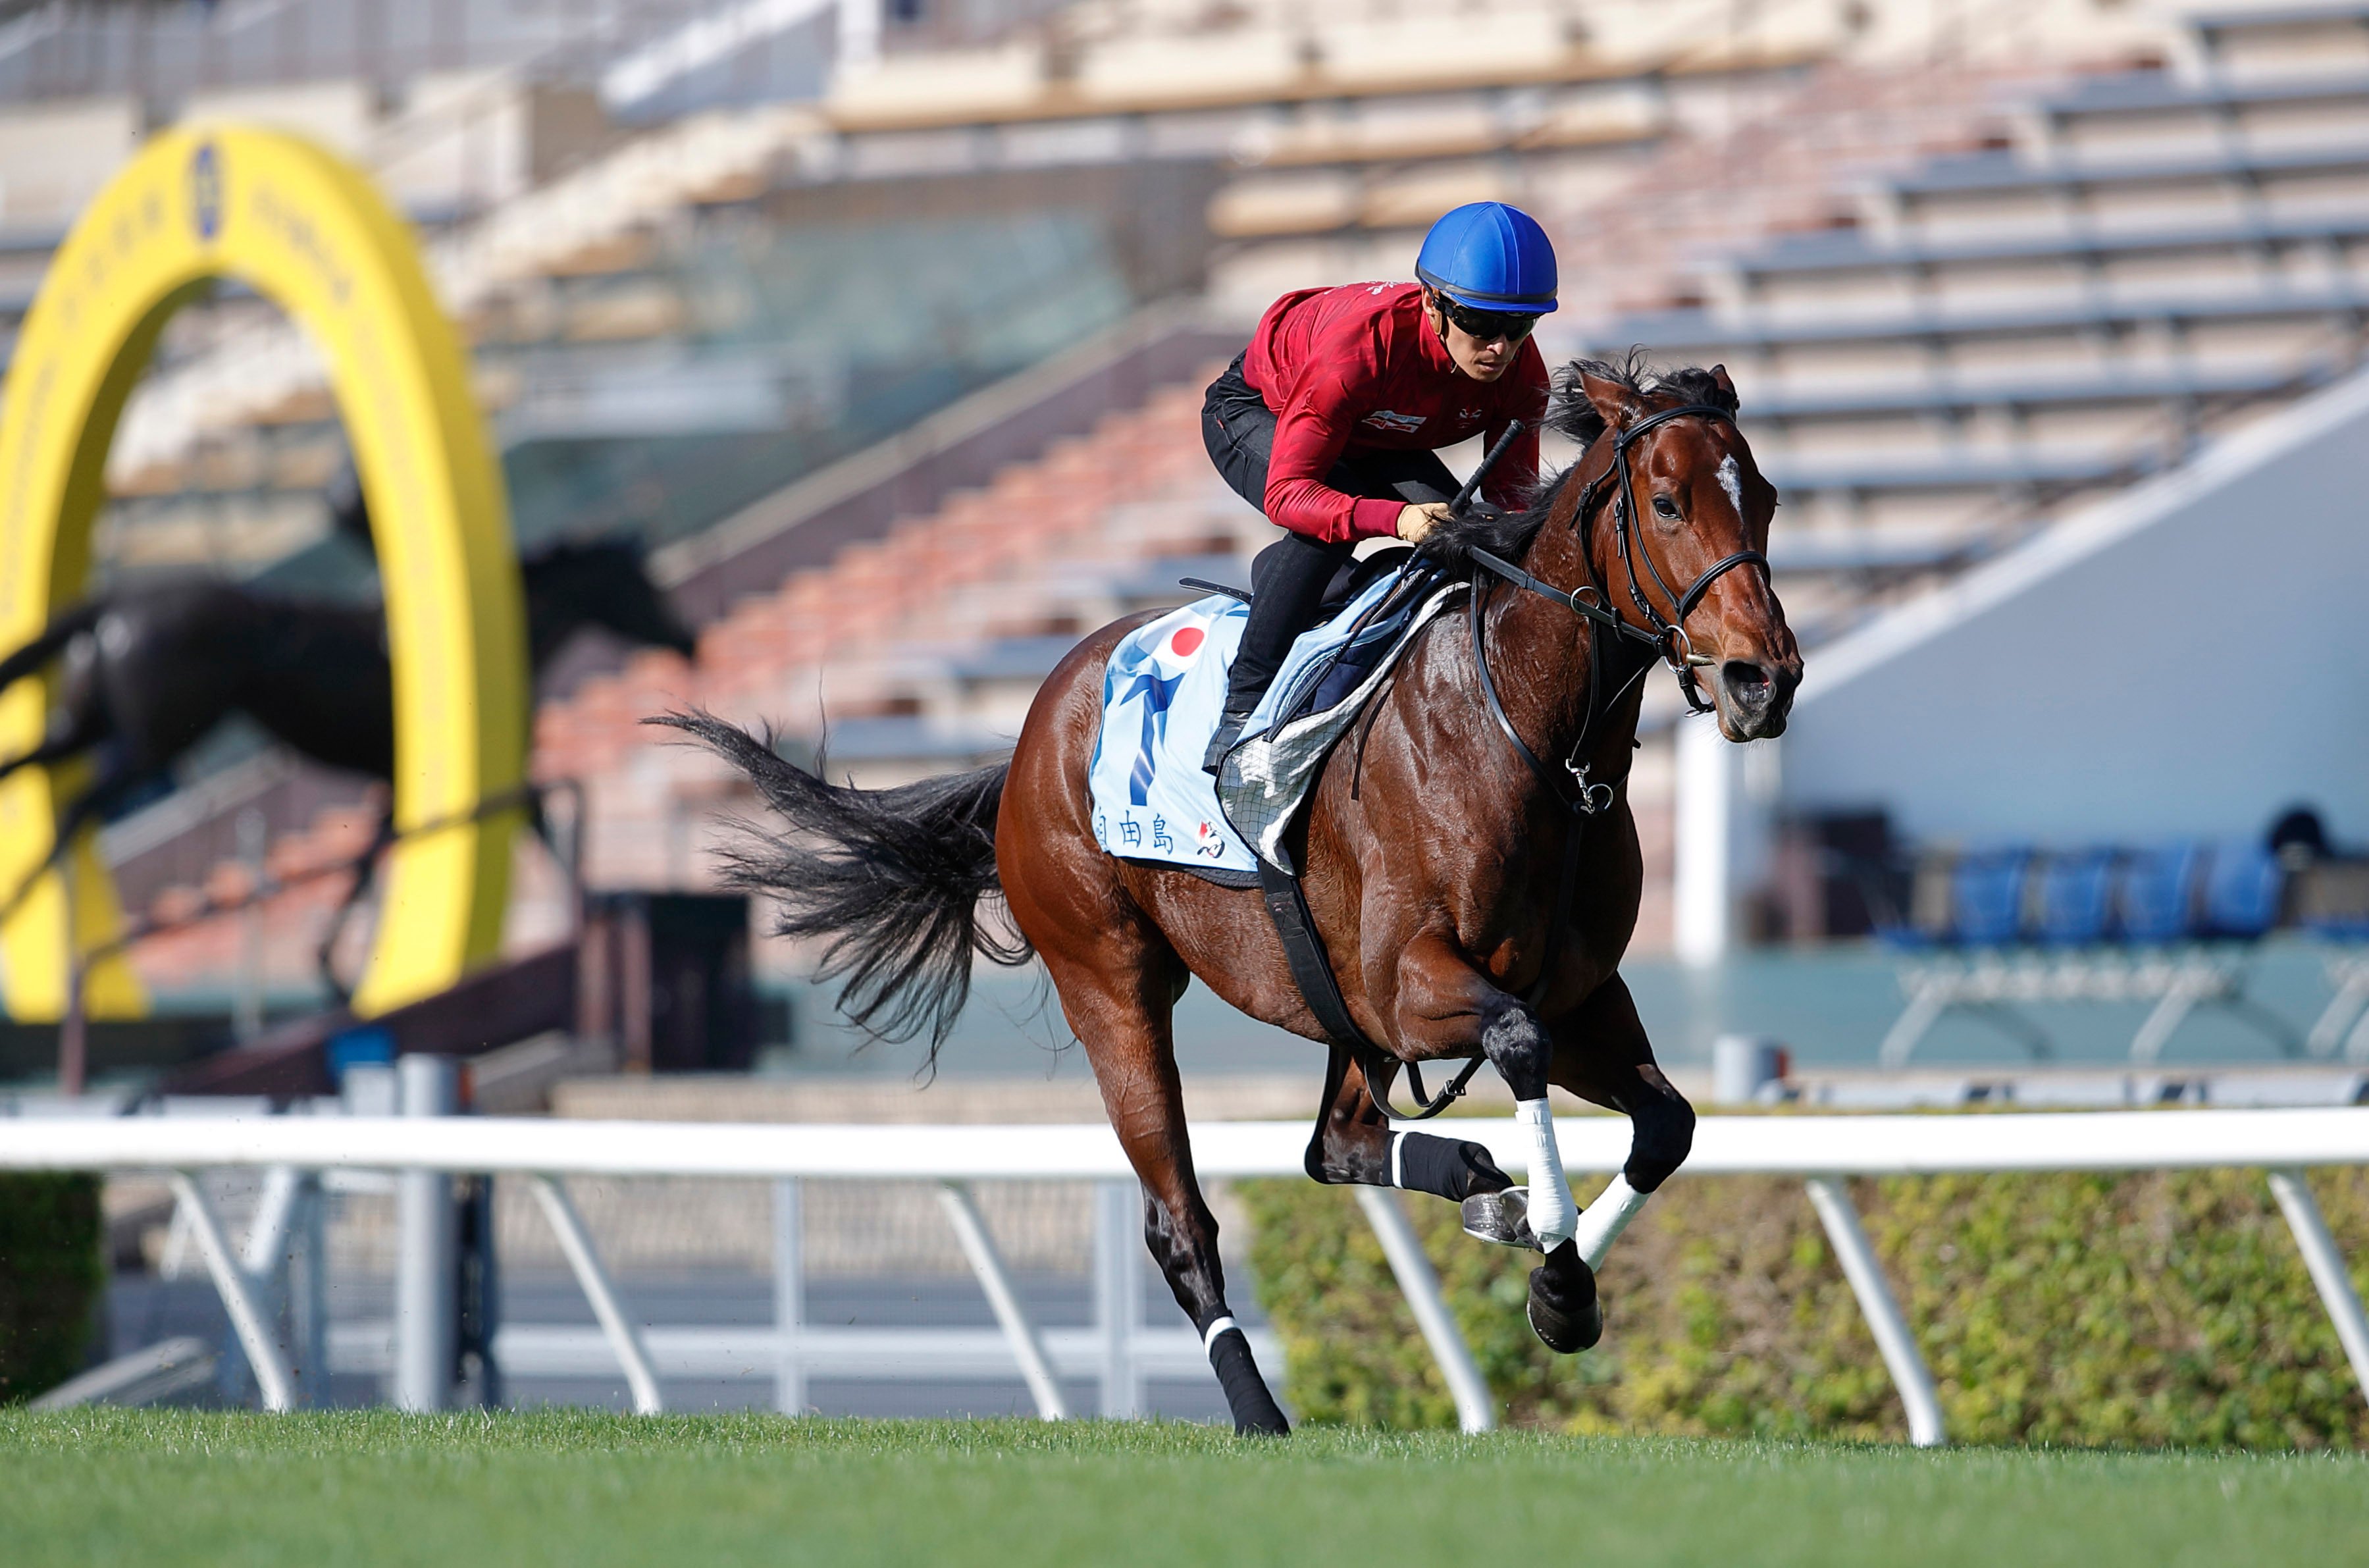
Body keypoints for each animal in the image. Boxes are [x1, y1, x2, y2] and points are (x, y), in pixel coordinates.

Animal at [0, 537, 696, 924]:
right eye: (639, 579)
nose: (687, 639)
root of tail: (117, 602)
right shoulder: (446, 782)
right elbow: (532, 824)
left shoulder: (395, 789)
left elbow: (366, 862)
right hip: (153, 742)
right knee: (81, 802)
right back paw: (26, 895)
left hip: (84, 724)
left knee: (28, 765)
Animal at [658, 359, 1800, 1440]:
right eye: (1666, 502)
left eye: (1767, 497)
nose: (1763, 678)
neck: (1522, 735)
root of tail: (1031, 728)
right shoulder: (1408, 986)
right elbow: (1516, 1043)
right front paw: (1556, 1267)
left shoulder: (1575, 992)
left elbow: (1667, 1121)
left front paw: (1558, 1280)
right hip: (1111, 983)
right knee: (1181, 1220)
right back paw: (1259, 1403)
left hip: (1328, 1003)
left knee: (1338, 1142)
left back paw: (1478, 1181)